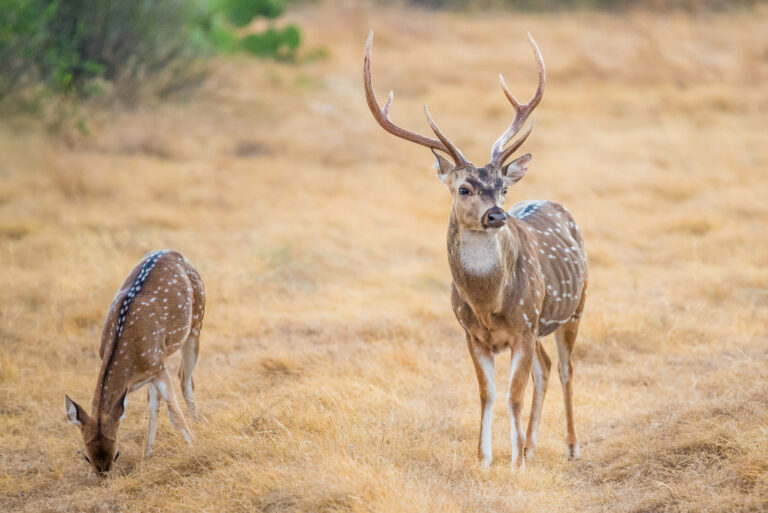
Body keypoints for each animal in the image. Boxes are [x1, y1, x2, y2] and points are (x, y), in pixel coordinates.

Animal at [64, 249, 205, 473]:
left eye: (116, 454)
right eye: (86, 457)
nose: (103, 474)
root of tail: (174, 253)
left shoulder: (158, 367)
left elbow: (174, 415)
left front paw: (195, 446)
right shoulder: (155, 368)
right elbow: (153, 406)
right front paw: (147, 455)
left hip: (196, 324)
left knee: (186, 379)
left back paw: (197, 423)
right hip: (163, 357)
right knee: (158, 400)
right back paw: (148, 452)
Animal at [363, 31, 588, 470]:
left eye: (503, 187)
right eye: (464, 188)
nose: (497, 215)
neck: (489, 304)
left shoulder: (522, 325)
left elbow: (513, 396)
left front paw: (515, 466)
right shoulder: (471, 333)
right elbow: (487, 394)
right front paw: (485, 460)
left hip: (574, 306)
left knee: (567, 368)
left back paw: (570, 446)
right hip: (542, 322)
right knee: (546, 367)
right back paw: (532, 446)